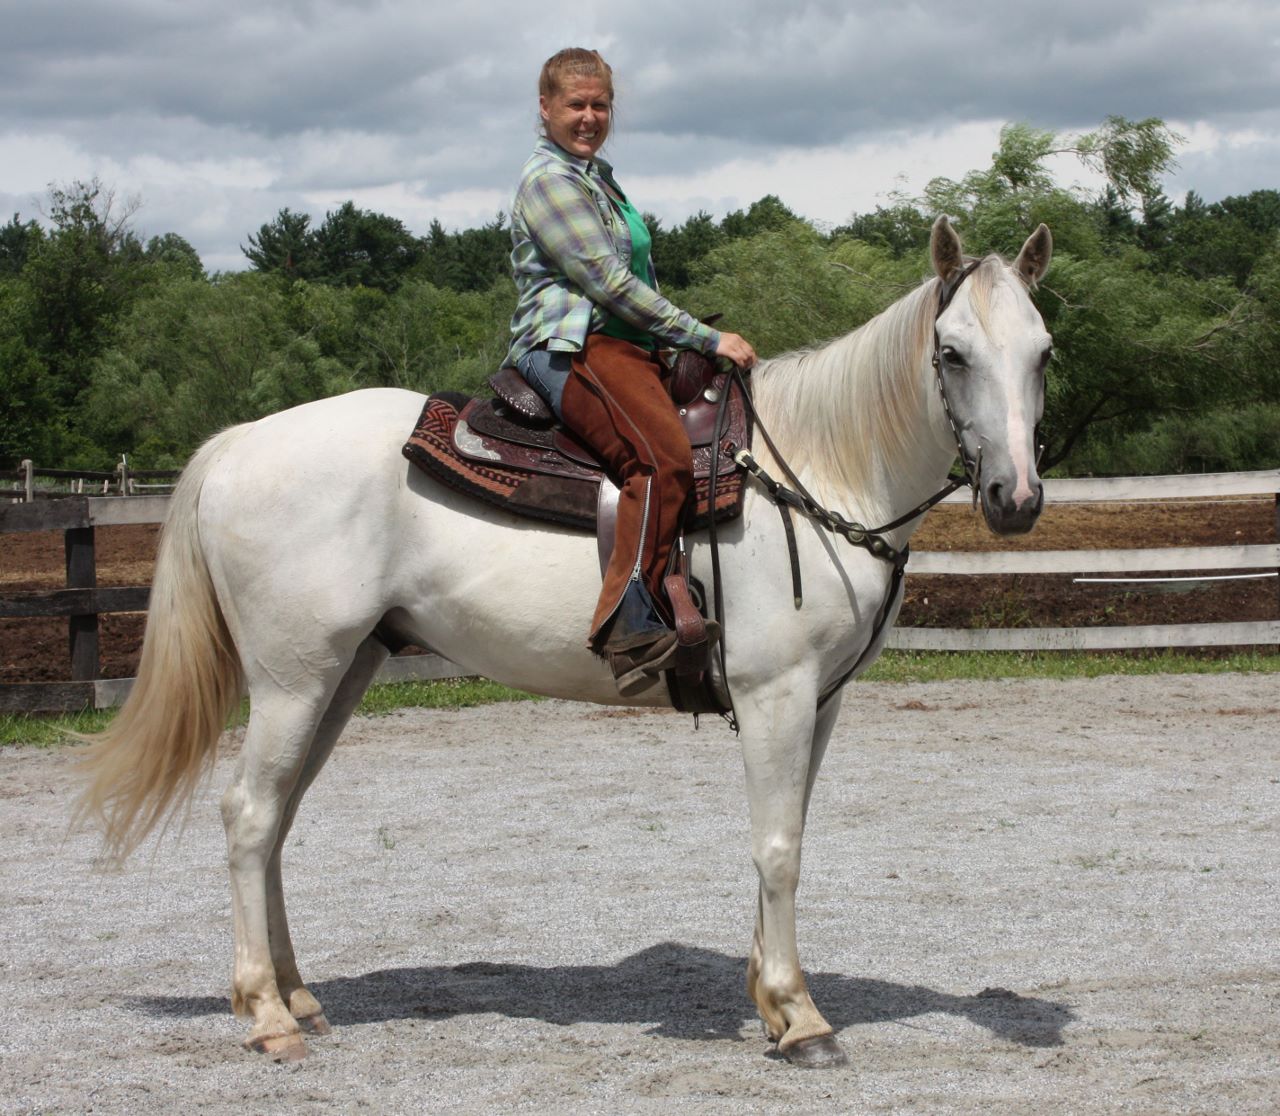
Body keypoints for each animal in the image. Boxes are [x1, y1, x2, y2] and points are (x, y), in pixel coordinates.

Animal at [76, 216, 1053, 1067]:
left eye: (1043, 353)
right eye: (952, 352)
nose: (1015, 500)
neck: (817, 468)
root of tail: (239, 444)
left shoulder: (822, 700)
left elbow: (788, 837)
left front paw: (771, 1002)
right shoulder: (775, 694)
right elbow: (777, 849)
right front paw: (802, 1019)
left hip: (339, 676)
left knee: (276, 817)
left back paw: (299, 998)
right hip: (292, 679)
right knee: (248, 815)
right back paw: (267, 1017)